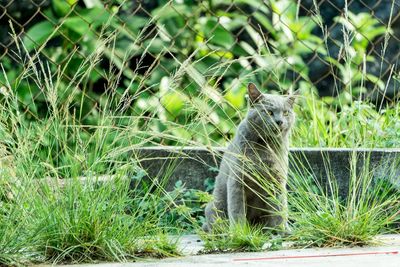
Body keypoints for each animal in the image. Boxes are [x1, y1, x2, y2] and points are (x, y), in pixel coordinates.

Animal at [203, 83, 296, 232]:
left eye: (286, 112)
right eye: (269, 112)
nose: (279, 121)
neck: (265, 147)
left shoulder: (278, 180)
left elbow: (280, 207)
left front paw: (283, 230)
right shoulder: (237, 180)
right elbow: (237, 209)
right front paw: (239, 232)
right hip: (214, 207)